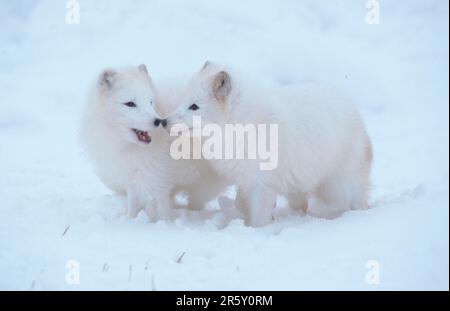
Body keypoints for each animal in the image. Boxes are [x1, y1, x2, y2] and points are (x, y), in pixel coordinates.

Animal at [80, 65, 227, 221]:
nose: (158, 121)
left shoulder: (157, 181)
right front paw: (130, 220)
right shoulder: (134, 177)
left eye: (150, 102)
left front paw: (160, 223)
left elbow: (159, 208)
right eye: (130, 104)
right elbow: (133, 205)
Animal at [165, 62, 372, 228]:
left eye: (194, 106)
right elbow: (240, 203)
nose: (164, 121)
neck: (240, 124)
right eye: (183, 101)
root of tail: (354, 109)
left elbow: (258, 216)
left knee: (359, 199)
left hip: (338, 187)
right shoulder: (247, 177)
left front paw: (256, 229)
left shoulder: (263, 183)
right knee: (302, 202)